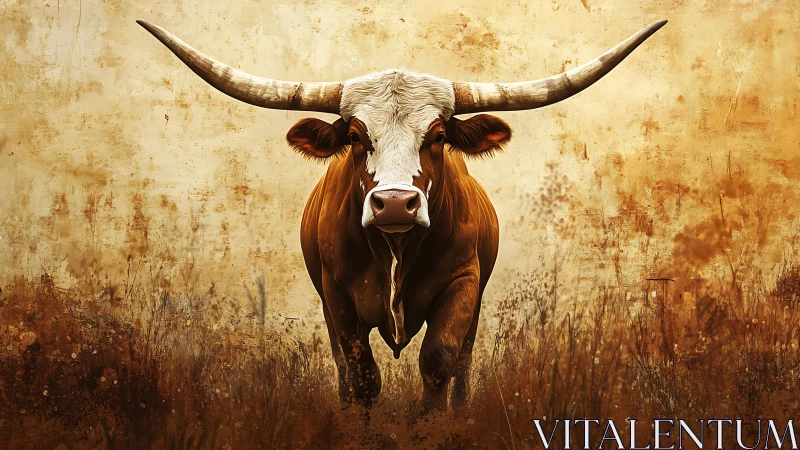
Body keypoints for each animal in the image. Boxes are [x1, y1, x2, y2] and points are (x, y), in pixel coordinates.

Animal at [137, 19, 666, 412]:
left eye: (437, 135)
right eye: (355, 135)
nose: (394, 203)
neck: (395, 248)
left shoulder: (463, 285)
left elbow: (439, 362)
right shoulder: (337, 295)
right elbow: (362, 375)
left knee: (462, 366)